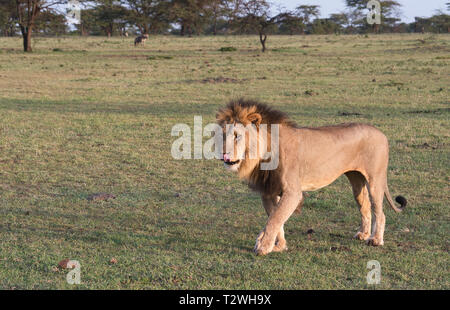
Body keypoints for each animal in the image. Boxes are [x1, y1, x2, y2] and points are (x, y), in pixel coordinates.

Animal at [216, 99, 406, 256]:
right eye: (223, 135)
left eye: (237, 136)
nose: (223, 154)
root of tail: (381, 133)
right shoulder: (269, 192)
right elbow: (276, 219)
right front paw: (279, 246)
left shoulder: (292, 192)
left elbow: (275, 219)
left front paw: (263, 246)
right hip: (356, 180)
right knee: (365, 207)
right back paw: (363, 234)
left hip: (375, 179)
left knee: (379, 212)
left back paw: (375, 240)